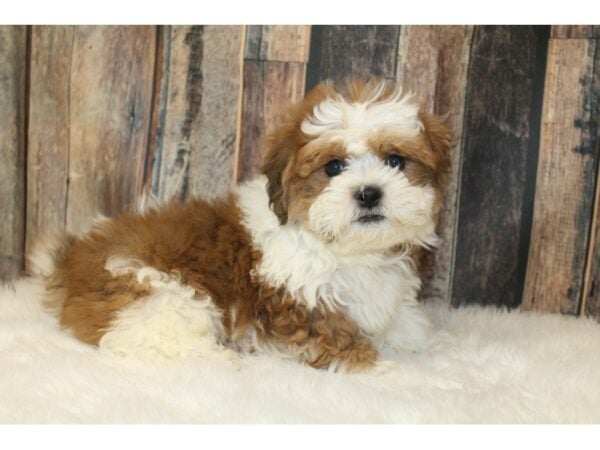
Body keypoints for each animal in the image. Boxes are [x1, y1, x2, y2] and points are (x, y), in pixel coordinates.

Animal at [30, 79, 452, 370]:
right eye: (333, 167)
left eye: (395, 161)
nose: (368, 193)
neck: (348, 250)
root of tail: (71, 261)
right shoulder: (300, 303)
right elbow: (336, 337)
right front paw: (380, 368)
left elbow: (400, 321)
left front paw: (425, 340)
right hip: (157, 294)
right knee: (156, 337)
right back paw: (224, 358)